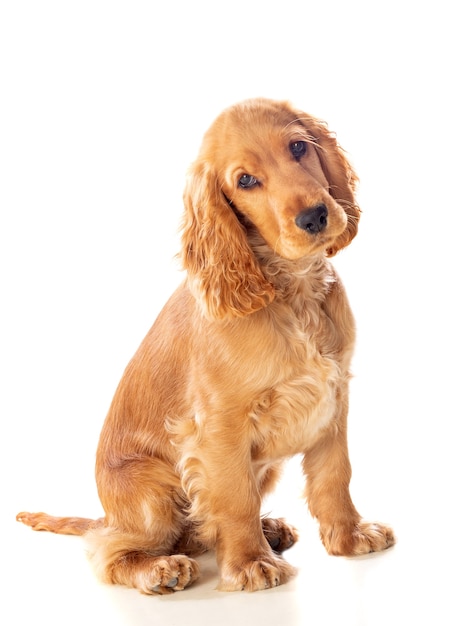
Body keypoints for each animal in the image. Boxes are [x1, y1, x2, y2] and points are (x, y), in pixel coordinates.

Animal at [16, 96, 396, 588]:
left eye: (298, 147)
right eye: (245, 180)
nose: (314, 216)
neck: (293, 291)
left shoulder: (334, 396)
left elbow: (335, 474)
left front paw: (350, 536)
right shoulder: (219, 425)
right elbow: (235, 497)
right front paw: (251, 562)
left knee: (194, 532)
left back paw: (269, 529)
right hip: (153, 494)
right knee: (111, 549)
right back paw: (160, 568)